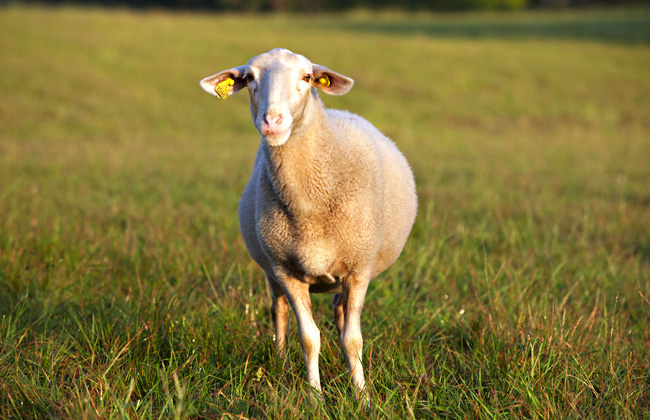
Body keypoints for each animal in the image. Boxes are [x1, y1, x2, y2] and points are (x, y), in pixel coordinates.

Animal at [200, 47, 418, 398]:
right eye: (249, 78)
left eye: (306, 77)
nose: (272, 121)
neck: (310, 204)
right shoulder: (285, 271)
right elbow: (309, 337)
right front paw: (314, 395)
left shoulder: (358, 268)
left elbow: (353, 339)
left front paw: (362, 395)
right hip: (272, 269)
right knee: (279, 311)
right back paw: (279, 362)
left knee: (340, 314)